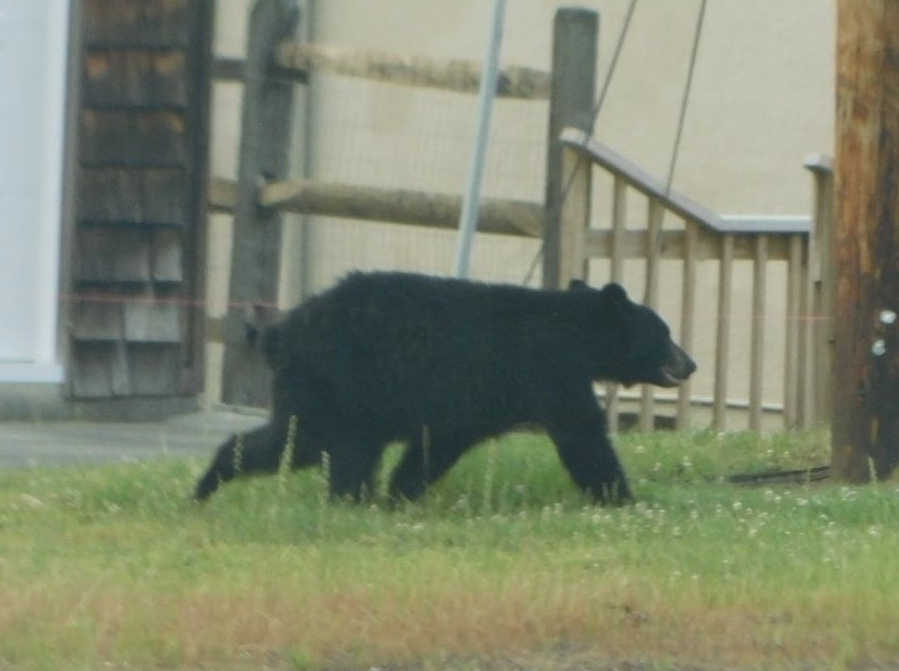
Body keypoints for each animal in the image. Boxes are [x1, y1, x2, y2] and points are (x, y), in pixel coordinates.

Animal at [197, 272, 696, 504]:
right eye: (664, 332)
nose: (690, 363)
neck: (575, 334)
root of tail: (281, 333)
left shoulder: (469, 405)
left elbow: (436, 446)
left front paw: (400, 494)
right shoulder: (549, 371)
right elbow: (582, 436)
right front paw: (624, 498)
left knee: (291, 440)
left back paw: (210, 482)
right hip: (341, 384)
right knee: (328, 446)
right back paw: (347, 501)